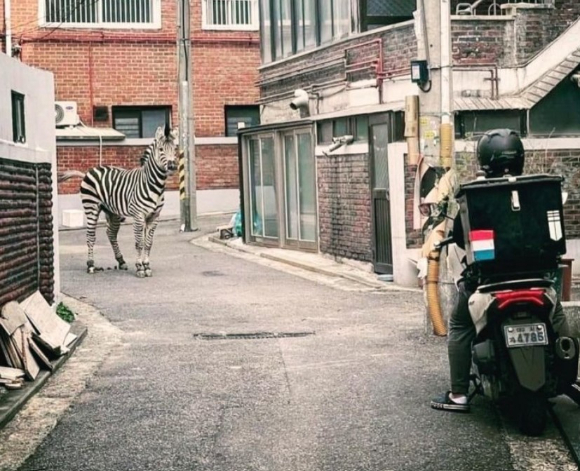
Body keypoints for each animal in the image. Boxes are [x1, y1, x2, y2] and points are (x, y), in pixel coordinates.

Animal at [58, 125, 178, 278]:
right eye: (161, 149)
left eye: (174, 148)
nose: (172, 166)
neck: (155, 186)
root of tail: (88, 172)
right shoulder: (138, 215)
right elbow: (139, 243)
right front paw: (140, 268)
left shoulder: (154, 216)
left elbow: (148, 243)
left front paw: (147, 266)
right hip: (91, 207)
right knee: (90, 236)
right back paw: (90, 265)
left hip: (113, 212)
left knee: (111, 234)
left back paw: (121, 261)